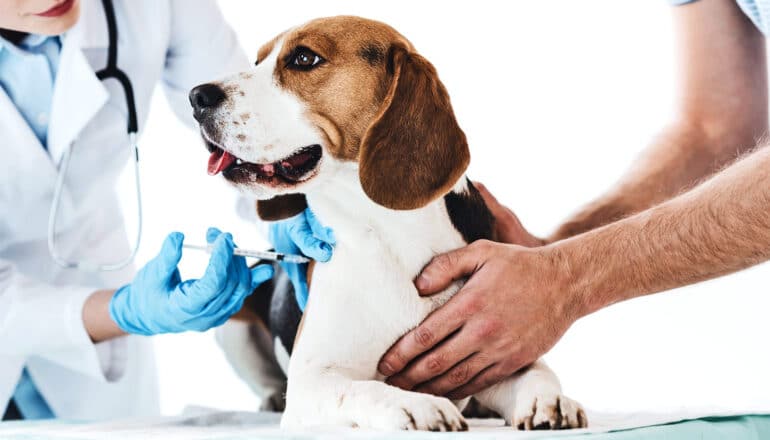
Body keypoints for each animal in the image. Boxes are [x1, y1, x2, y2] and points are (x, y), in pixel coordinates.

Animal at [189, 15, 584, 432]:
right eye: (257, 61)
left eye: (303, 58)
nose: (197, 96)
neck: (386, 236)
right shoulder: (313, 381)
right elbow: (365, 389)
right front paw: (418, 404)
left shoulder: (494, 350)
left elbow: (537, 373)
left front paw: (550, 400)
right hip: (232, 321)